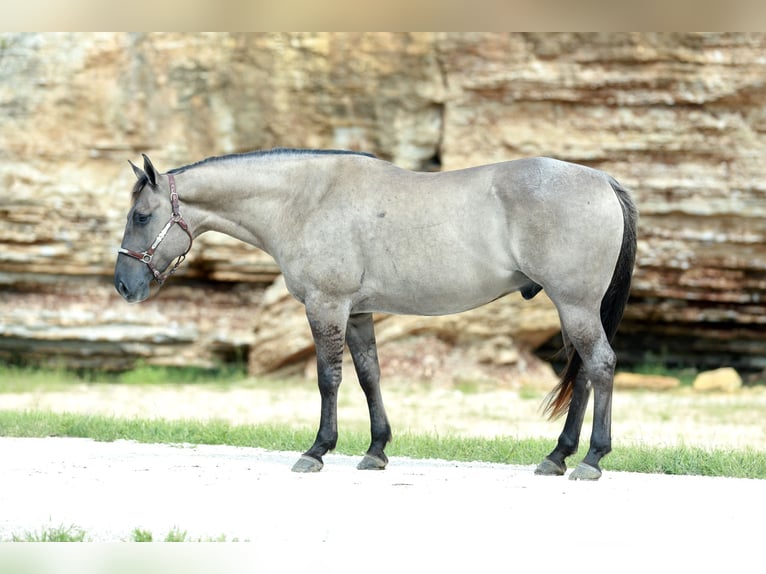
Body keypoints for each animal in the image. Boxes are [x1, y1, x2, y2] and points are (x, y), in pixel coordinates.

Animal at [114, 148, 637, 480]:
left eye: (141, 216)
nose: (123, 285)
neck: (306, 199)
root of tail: (602, 180)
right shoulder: (359, 313)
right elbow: (370, 377)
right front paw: (376, 450)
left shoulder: (327, 306)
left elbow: (328, 379)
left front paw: (317, 450)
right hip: (576, 309)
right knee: (585, 375)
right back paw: (558, 456)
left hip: (575, 305)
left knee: (601, 366)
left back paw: (591, 459)